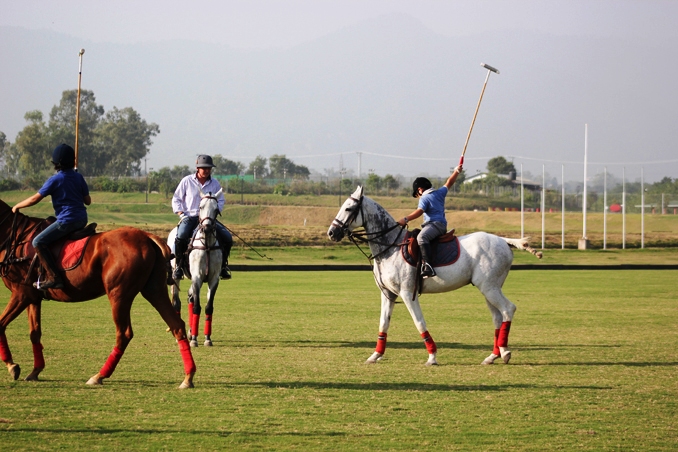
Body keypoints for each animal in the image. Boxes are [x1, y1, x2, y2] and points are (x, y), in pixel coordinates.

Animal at [0, 199, 197, 388]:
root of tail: (148, 237)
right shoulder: (33, 297)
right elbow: (34, 332)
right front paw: (35, 371)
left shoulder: (21, 293)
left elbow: (1, 324)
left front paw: (12, 366)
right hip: (153, 290)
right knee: (176, 325)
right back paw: (188, 377)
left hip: (118, 294)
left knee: (124, 333)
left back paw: (99, 375)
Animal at [168, 189, 223, 348]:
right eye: (200, 207)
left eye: (216, 209)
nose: (207, 228)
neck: (207, 245)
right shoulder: (197, 277)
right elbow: (197, 307)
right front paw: (193, 340)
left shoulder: (213, 279)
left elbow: (208, 307)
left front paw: (207, 338)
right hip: (175, 276)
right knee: (177, 302)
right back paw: (180, 334)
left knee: (190, 298)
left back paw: (191, 331)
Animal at [326, 187, 544, 368]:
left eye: (348, 208)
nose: (331, 233)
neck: (390, 246)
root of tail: (504, 240)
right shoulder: (388, 294)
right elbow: (383, 323)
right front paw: (375, 355)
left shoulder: (407, 293)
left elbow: (419, 323)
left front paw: (432, 357)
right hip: (489, 287)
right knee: (498, 317)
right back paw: (492, 356)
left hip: (489, 287)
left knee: (508, 309)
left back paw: (505, 352)